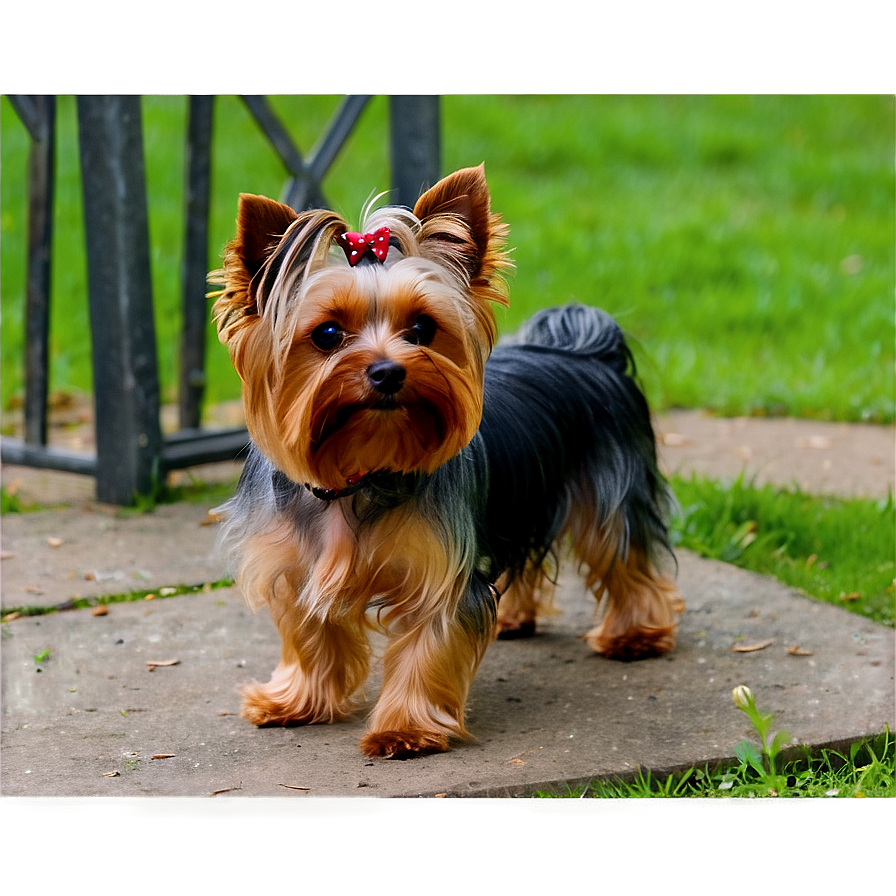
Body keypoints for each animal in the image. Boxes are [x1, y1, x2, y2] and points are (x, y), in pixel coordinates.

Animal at [212, 166, 680, 756]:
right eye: (327, 334)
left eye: (421, 329)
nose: (388, 371)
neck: (359, 472)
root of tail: (586, 348)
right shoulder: (295, 568)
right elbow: (309, 636)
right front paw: (296, 702)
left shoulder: (441, 571)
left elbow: (426, 647)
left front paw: (405, 729)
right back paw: (516, 618)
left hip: (610, 491)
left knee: (623, 551)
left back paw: (635, 634)